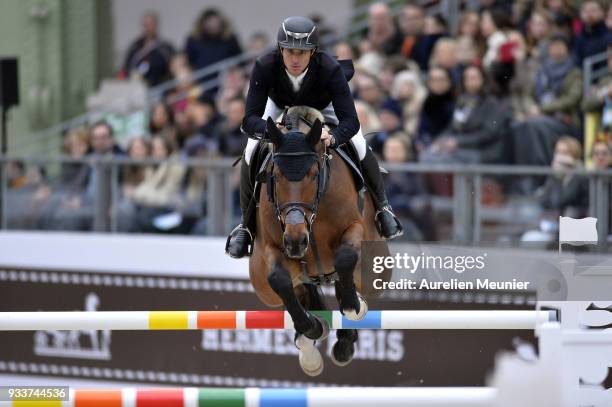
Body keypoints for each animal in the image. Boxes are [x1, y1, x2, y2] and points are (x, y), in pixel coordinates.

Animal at [249, 107, 392, 378]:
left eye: (314, 175)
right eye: (276, 176)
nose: (296, 241)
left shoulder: (354, 229)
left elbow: (346, 257)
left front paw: (353, 307)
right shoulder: (271, 248)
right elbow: (279, 279)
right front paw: (313, 326)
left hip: (375, 270)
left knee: (349, 277)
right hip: (265, 285)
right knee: (300, 289)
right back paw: (311, 350)